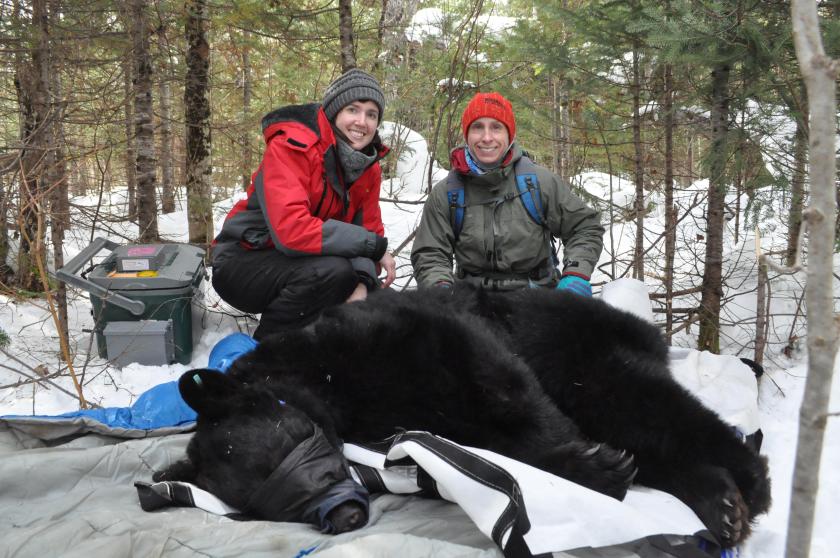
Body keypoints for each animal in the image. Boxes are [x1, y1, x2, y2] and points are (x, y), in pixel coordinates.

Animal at [156, 286, 768, 548]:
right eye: (268, 503)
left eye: (281, 449)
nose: (342, 516)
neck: (325, 382)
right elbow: (476, 436)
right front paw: (599, 465)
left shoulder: (405, 333)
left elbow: (503, 383)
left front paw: (588, 462)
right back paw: (721, 504)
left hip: (580, 349)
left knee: (644, 404)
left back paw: (749, 482)